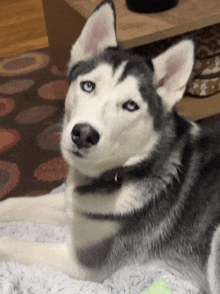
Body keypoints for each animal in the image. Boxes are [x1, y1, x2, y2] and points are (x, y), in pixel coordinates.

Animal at [0, 1, 220, 292]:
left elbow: (9, 243)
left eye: (131, 105)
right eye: (88, 85)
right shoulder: (76, 205)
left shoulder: (81, 264)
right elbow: (13, 202)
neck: (120, 174)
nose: (83, 134)